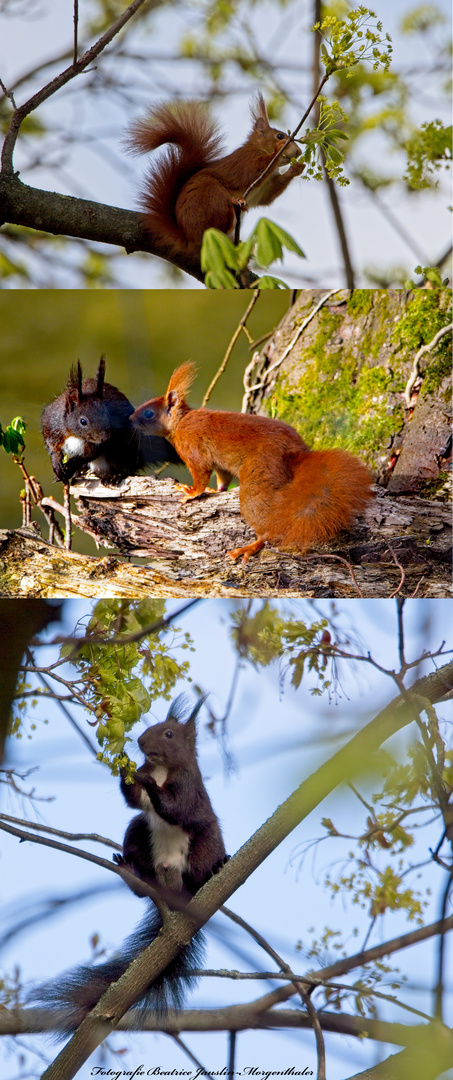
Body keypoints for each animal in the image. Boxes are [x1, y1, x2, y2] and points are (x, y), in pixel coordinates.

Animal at [33, 695, 229, 1023]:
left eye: (169, 734)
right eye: (151, 727)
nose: (140, 740)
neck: (162, 767)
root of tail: (176, 892)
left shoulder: (188, 785)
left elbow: (175, 808)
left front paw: (147, 780)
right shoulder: (138, 802)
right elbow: (133, 800)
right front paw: (124, 761)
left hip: (205, 843)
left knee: (200, 870)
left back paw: (215, 869)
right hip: (137, 833)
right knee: (142, 875)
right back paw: (132, 874)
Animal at [40, 354, 179, 486]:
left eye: (107, 415)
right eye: (83, 421)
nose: (106, 438)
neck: (75, 434)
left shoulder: (96, 444)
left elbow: (89, 454)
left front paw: (71, 466)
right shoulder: (51, 423)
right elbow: (51, 445)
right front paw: (57, 463)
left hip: (121, 449)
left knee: (126, 468)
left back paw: (115, 475)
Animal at [127, 93, 304, 278]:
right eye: (280, 136)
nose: (299, 152)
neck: (260, 149)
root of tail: (188, 238)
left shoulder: (267, 186)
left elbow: (269, 195)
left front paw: (296, 168)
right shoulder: (245, 161)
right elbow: (252, 170)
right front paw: (278, 150)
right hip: (212, 196)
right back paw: (235, 204)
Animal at [130, 365, 371, 565]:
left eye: (149, 413)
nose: (130, 420)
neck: (180, 423)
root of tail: (297, 451)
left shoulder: (193, 448)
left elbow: (201, 473)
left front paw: (192, 491)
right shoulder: (222, 466)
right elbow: (222, 479)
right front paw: (214, 490)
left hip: (258, 473)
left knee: (265, 525)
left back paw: (251, 546)